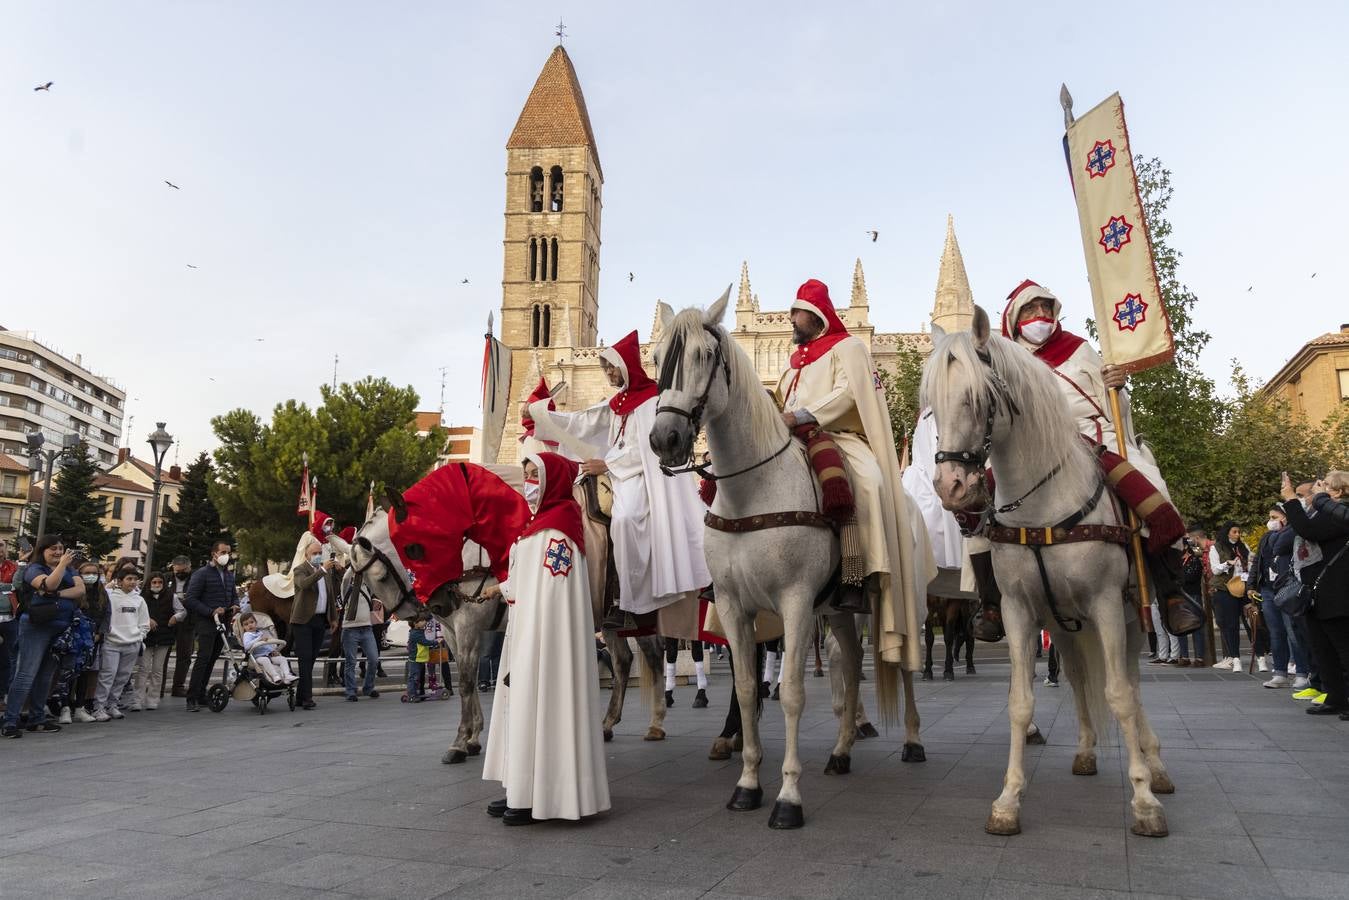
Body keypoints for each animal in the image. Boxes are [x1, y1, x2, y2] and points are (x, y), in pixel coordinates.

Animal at [647, 288, 922, 831]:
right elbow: (748, 689)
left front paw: (788, 797)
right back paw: (841, 751)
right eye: (658, 357)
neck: (752, 490)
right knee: (849, 660)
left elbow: (791, 691)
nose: (665, 439)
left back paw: (913, 740)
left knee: (901, 661)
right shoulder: (734, 605)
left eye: (705, 356)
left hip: (898, 598)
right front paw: (747, 784)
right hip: (838, 608)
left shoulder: (794, 602)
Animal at [922, 307, 1176, 836]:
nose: (952, 488)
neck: (1041, 506)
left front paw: (1143, 800)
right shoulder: (1021, 612)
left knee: (1131, 682)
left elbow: (1119, 694)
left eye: (977, 396)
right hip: (1063, 625)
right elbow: (1021, 703)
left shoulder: (1106, 605)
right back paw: (1085, 751)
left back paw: (1156, 765)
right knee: (1078, 677)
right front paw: (1007, 801)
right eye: (931, 404)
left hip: (1129, 619)